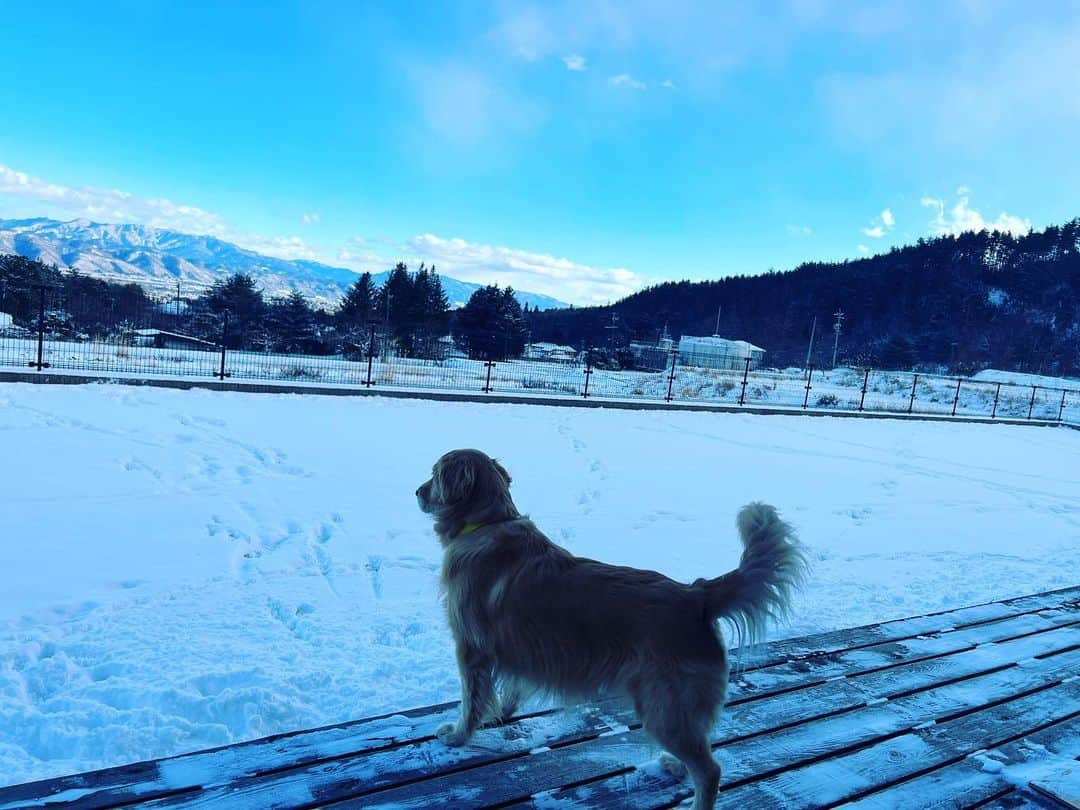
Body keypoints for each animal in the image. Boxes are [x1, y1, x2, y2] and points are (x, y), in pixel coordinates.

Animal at [416, 447, 807, 807]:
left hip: (664, 709)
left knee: (710, 771)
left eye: (434, 474)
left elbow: (471, 699)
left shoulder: (470, 648)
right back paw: (672, 765)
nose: (417, 491)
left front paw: (458, 735)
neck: (489, 522)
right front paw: (506, 711)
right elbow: (513, 686)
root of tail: (696, 594)